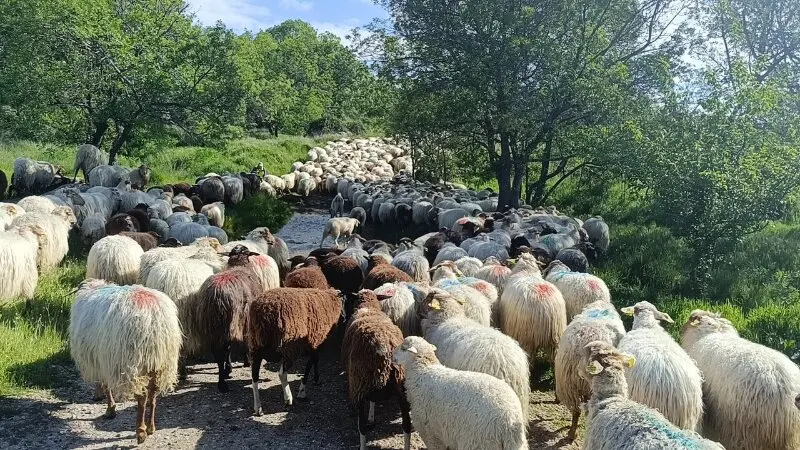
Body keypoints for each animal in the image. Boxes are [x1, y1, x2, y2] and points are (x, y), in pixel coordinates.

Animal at [69, 279, 182, 444]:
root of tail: (154, 318)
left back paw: (141, 431)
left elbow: (105, 385)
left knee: (142, 398)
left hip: (134, 363)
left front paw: (110, 409)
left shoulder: (101, 360)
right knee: (153, 396)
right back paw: (151, 427)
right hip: (160, 362)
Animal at [341, 290, 410, 450]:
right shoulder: (371, 380)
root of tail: (387, 351)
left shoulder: (363, 381)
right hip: (402, 387)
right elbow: (373, 400)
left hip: (359, 383)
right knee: (406, 425)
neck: (368, 308)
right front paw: (372, 416)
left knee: (362, 426)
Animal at [393, 336, 528, 450]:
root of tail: (510, 420)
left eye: (403, 348)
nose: (392, 355)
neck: (423, 370)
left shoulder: (430, 432)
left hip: (478, 442)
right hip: (516, 444)